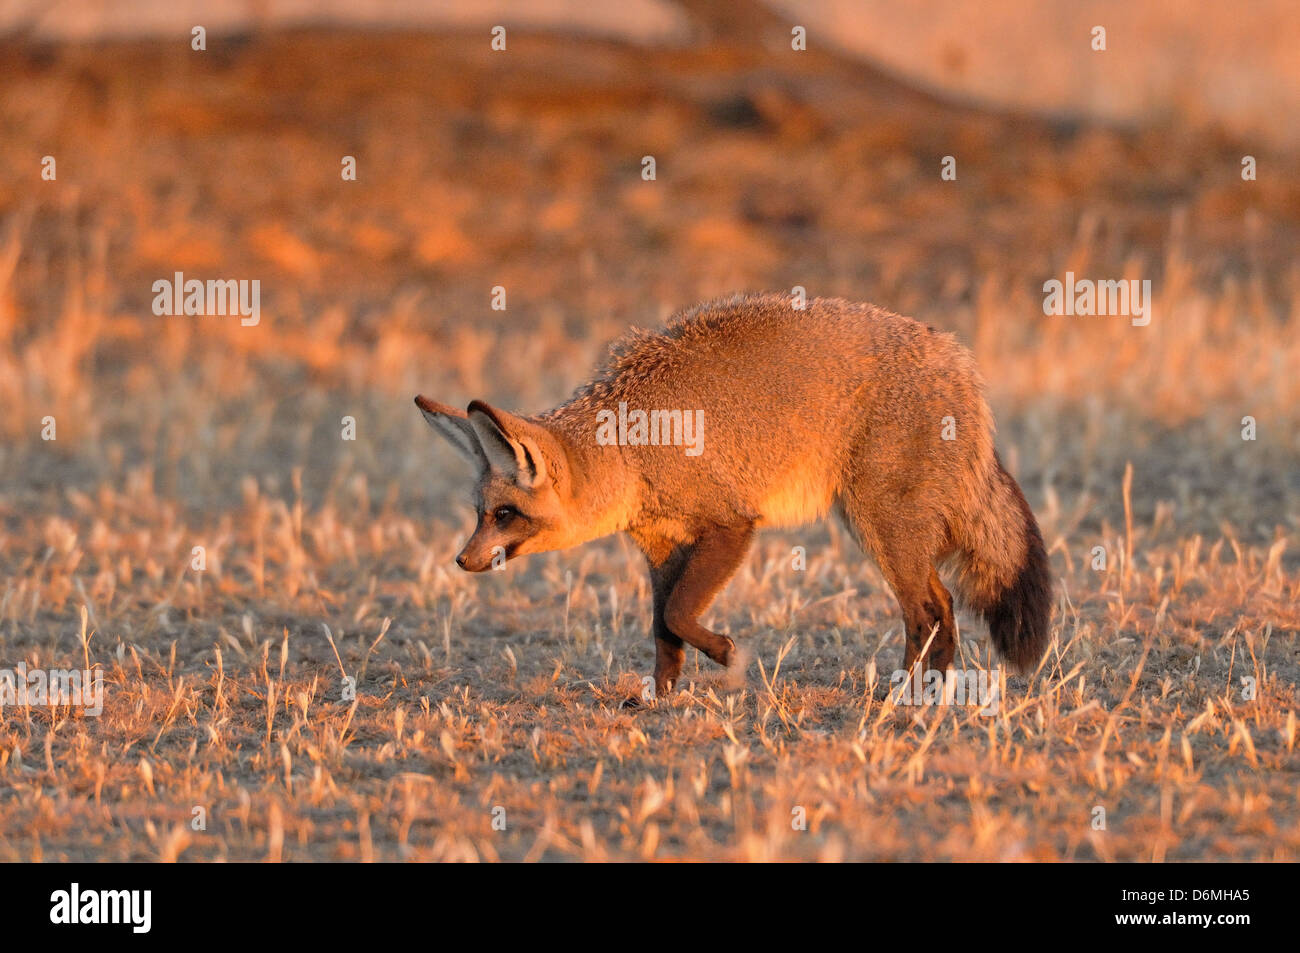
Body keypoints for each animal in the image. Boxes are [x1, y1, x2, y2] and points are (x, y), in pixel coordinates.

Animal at [416, 293, 1045, 696]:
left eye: (505, 514)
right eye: (480, 515)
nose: (462, 561)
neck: (629, 450)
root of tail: (958, 358)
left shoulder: (731, 525)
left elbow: (678, 613)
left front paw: (724, 655)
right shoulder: (661, 546)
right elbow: (663, 626)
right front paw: (661, 697)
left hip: (880, 527)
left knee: (928, 610)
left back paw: (902, 696)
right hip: (885, 530)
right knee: (944, 606)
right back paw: (932, 692)